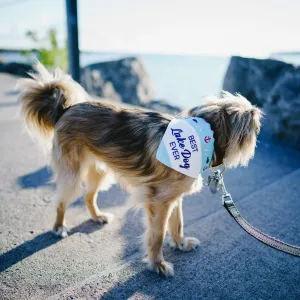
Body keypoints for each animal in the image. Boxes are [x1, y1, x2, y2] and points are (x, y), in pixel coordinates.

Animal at [18, 62, 262, 276]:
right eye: (252, 124)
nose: (259, 114)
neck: (201, 136)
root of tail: (65, 110)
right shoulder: (159, 202)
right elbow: (157, 235)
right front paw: (157, 264)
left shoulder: (173, 198)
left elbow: (178, 224)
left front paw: (180, 243)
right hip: (73, 175)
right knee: (61, 201)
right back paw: (59, 227)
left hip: (101, 172)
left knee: (88, 196)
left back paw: (97, 217)